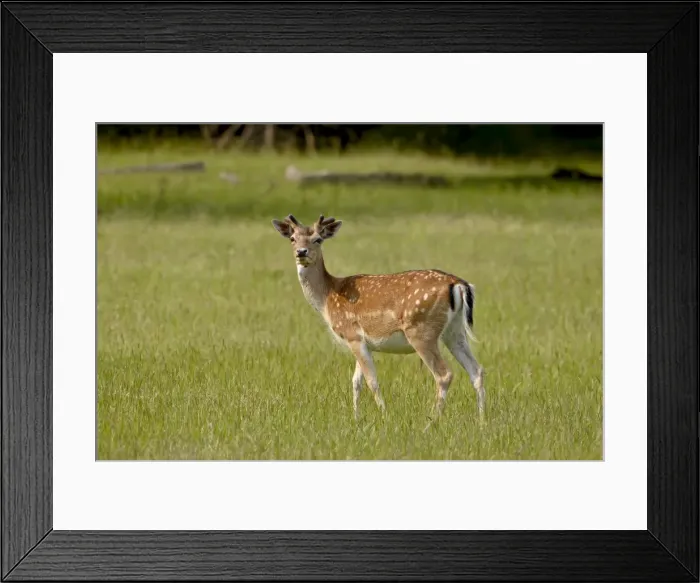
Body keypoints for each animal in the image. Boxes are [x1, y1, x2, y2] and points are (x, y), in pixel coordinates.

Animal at [271, 214, 486, 426]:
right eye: (292, 239)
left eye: (318, 239)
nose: (301, 252)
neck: (327, 297)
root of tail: (458, 284)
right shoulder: (363, 342)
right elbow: (356, 382)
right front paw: (356, 418)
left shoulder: (352, 335)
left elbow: (371, 381)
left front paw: (384, 415)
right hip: (454, 331)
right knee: (477, 370)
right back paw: (481, 420)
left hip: (421, 330)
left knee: (444, 374)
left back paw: (430, 422)